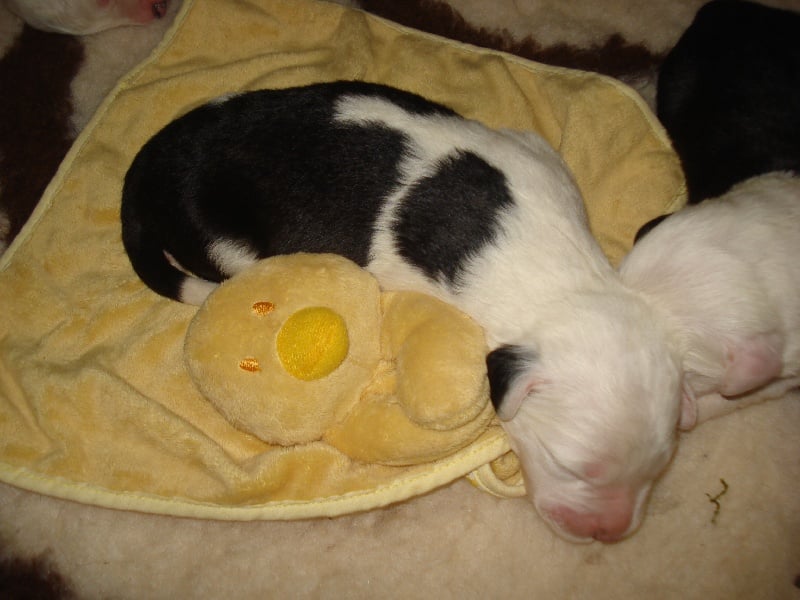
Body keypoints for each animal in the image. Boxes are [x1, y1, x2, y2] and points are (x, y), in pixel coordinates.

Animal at [121, 80, 684, 542]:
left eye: (660, 467)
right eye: (570, 467)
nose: (610, 534)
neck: (564, 282)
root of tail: (149, 168)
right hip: (224, 241)